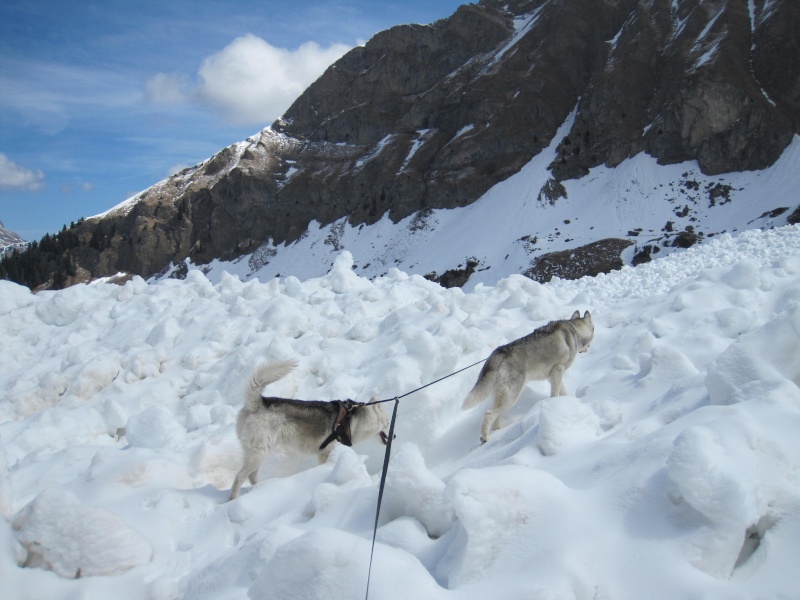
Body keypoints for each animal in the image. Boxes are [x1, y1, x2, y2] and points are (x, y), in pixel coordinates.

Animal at [228, 358, 390, 500]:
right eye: (388, 423)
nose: (393, 436)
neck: (350, 420)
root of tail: (259, 403)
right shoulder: (325, 452)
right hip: (260, 453)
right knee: (239, 477)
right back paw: (233, 499)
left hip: (257, 453)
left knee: (251, 475)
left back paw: (259, 489)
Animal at [462, 312, 592, 442]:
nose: (587, 349)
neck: (573, 330)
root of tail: (498, 352)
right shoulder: (558, 370)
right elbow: (555, 393)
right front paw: (555, 403)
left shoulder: (552, 376)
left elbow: (563, 391)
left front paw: (568, 400)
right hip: (511, 396)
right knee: (489, 413)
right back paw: (484, 437)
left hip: (503, 395)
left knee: (496, 416)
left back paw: (498, 431)